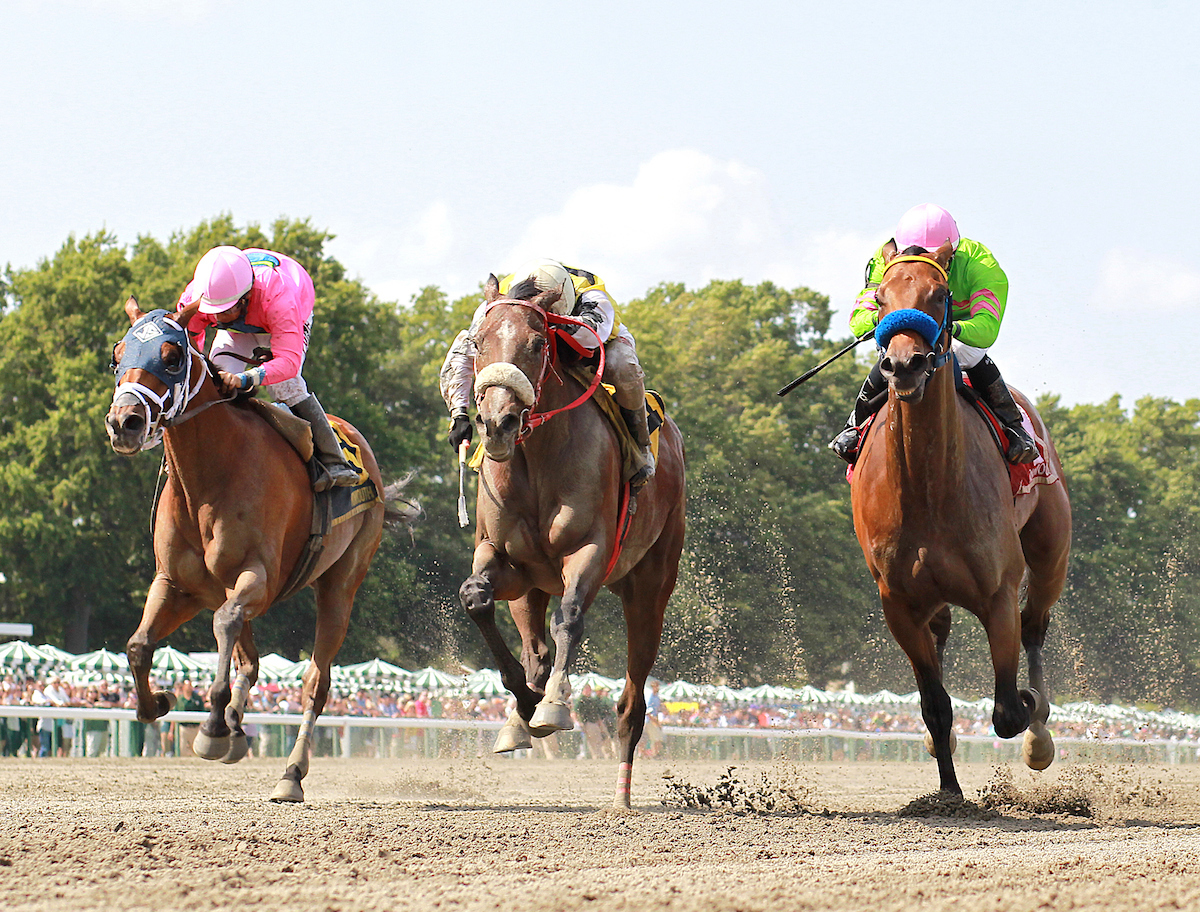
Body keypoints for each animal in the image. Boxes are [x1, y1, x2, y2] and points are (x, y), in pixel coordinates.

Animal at [108, 297, 417, 796]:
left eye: (172, 356)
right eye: (117, 357)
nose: (124, 423)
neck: (207, 479)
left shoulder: (260, 579)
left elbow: (225, 624)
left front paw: (212, 728)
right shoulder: (178, 584)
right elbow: (139, 645)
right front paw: (159, 702)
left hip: (341, 585)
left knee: (315, 681)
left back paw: (289, 773)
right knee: (248, 660)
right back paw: (237, 725)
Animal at [458, 274, 686, 806]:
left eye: (539, 343)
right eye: (478, 343)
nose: (497, 424)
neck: (537, 458)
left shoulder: (590, 552)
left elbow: (570, 619)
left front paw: (553, 708)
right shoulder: (506, 559)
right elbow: (475, 598)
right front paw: (525, 705)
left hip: (650, 586)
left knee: (632, 699)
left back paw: (622, 793)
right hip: (530, 589)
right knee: (535, 651)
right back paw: (518, 718)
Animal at [849, 242, 1075, 796]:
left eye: (940, 294)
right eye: (880, 297)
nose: (903, 365)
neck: (929, 486)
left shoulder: (997, 593)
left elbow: (1007, 711)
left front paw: (1030, 711)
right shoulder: (899, 604)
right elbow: (935, 706)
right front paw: (949, 794)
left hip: (1050, 555)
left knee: (1034, 624)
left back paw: (1040, 731)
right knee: (944, 634)